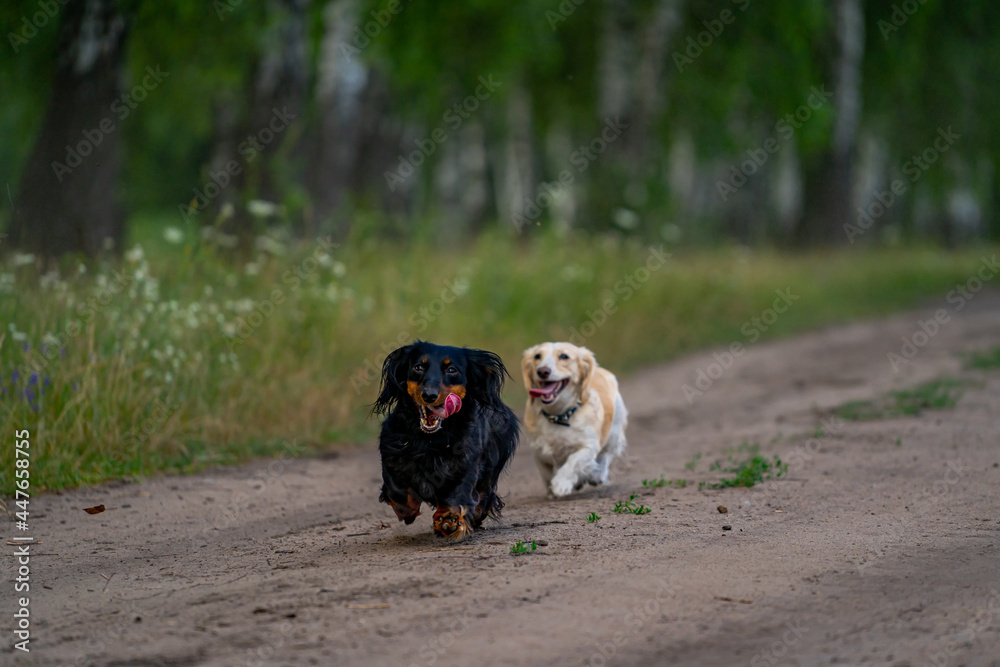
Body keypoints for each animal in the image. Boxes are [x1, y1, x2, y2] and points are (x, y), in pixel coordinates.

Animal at [372, 342, 520, 540]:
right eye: (418, 367)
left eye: (452, 370)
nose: (429, 395)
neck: (429, 439)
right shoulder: (392, 454)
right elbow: (398, 491)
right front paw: (406, 510)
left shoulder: (464, 462)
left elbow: (457, 493)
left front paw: (448, 519)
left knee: (484, 495)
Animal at [524, 344, 624, 496]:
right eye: (537, 356)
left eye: (564, 356)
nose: (542, 371)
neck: (558, 415)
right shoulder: (538, 453)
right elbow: (546, 474)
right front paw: (551, 492)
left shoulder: (588, 447)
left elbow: (573, 462)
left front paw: (561, 484)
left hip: (614, 432)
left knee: (606, 456)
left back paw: (596, 476)